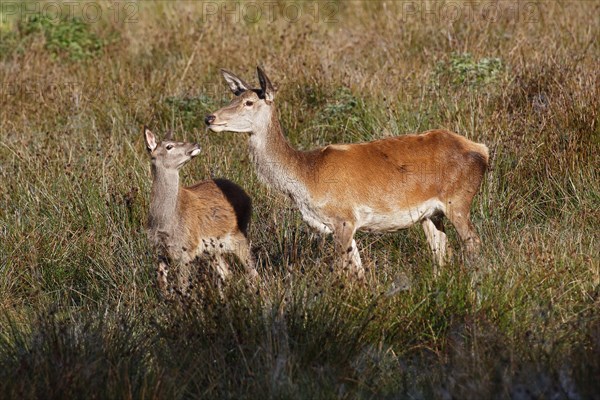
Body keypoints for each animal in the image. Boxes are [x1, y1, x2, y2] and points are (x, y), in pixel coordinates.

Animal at [146, 126, 260, 296]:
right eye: (169, 146)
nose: (195, 143)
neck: (164, 221)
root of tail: (246, 195)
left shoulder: (187, 248)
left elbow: (182, 286)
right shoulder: (159, 250)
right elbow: (162, 284)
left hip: (238, 234)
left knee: (252, 271)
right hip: (212, 248)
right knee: (227, 272)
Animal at [206, 67, 488, 280]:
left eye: (249, 102)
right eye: (232, 98)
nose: (210, 118)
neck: (306, 177)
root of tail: (482, 150)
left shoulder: (343, 218)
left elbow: (341, 271)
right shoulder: (341, 225)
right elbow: (359, 271)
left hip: (458, 200)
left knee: (473, 242)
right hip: (430, 214)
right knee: (442, 250)